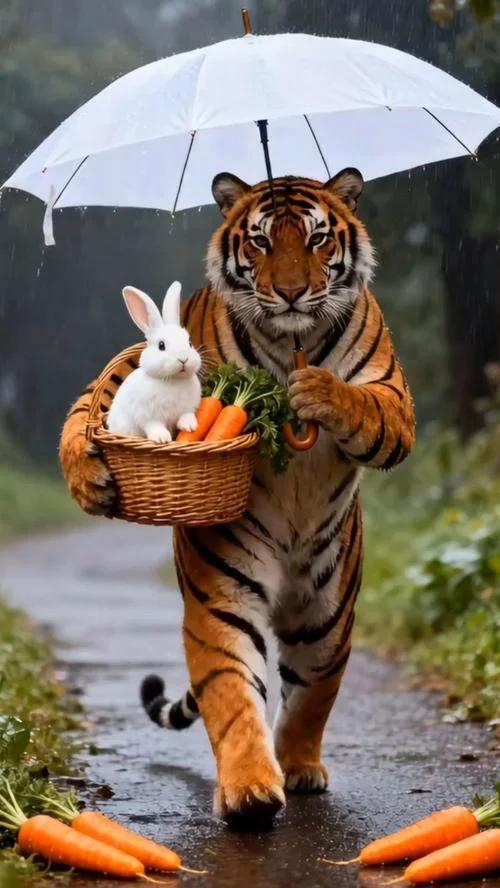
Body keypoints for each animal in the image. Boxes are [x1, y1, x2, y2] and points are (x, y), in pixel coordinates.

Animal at [59, 167, 415, 830]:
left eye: (317, 239)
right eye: (260, 242)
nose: (294, 293)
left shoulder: (393, 399)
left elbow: (366, 408)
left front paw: (317, 389)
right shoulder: (218, 599)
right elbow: (230, 690)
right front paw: (249, 792)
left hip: (328, 613)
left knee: (312, 694)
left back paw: (300, 766)